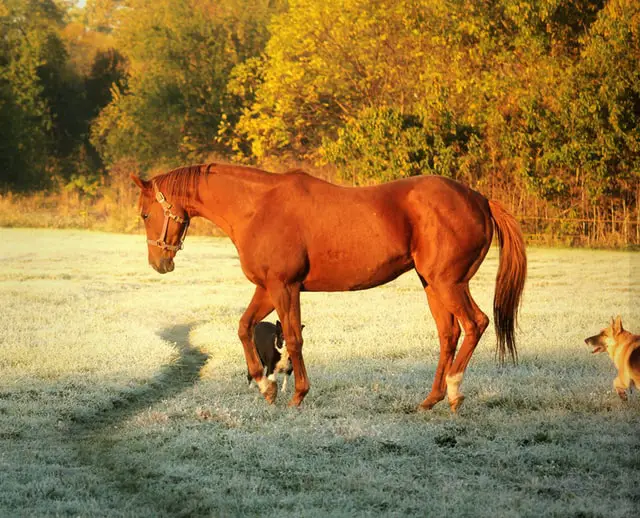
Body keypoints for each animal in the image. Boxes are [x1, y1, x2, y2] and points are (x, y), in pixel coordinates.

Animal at [131, 164, 524, 414]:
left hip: (448, 283)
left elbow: (293, 339)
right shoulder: (267, 288)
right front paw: (266, 386)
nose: (159, 263)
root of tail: (479, 199)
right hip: (432, 285)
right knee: (449, 334)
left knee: (475, 324)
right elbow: (244, 328)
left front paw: (297, 395)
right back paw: (432, 399)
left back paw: (455, 391)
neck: (258, 208)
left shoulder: (285, 287)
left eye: (145, 214)